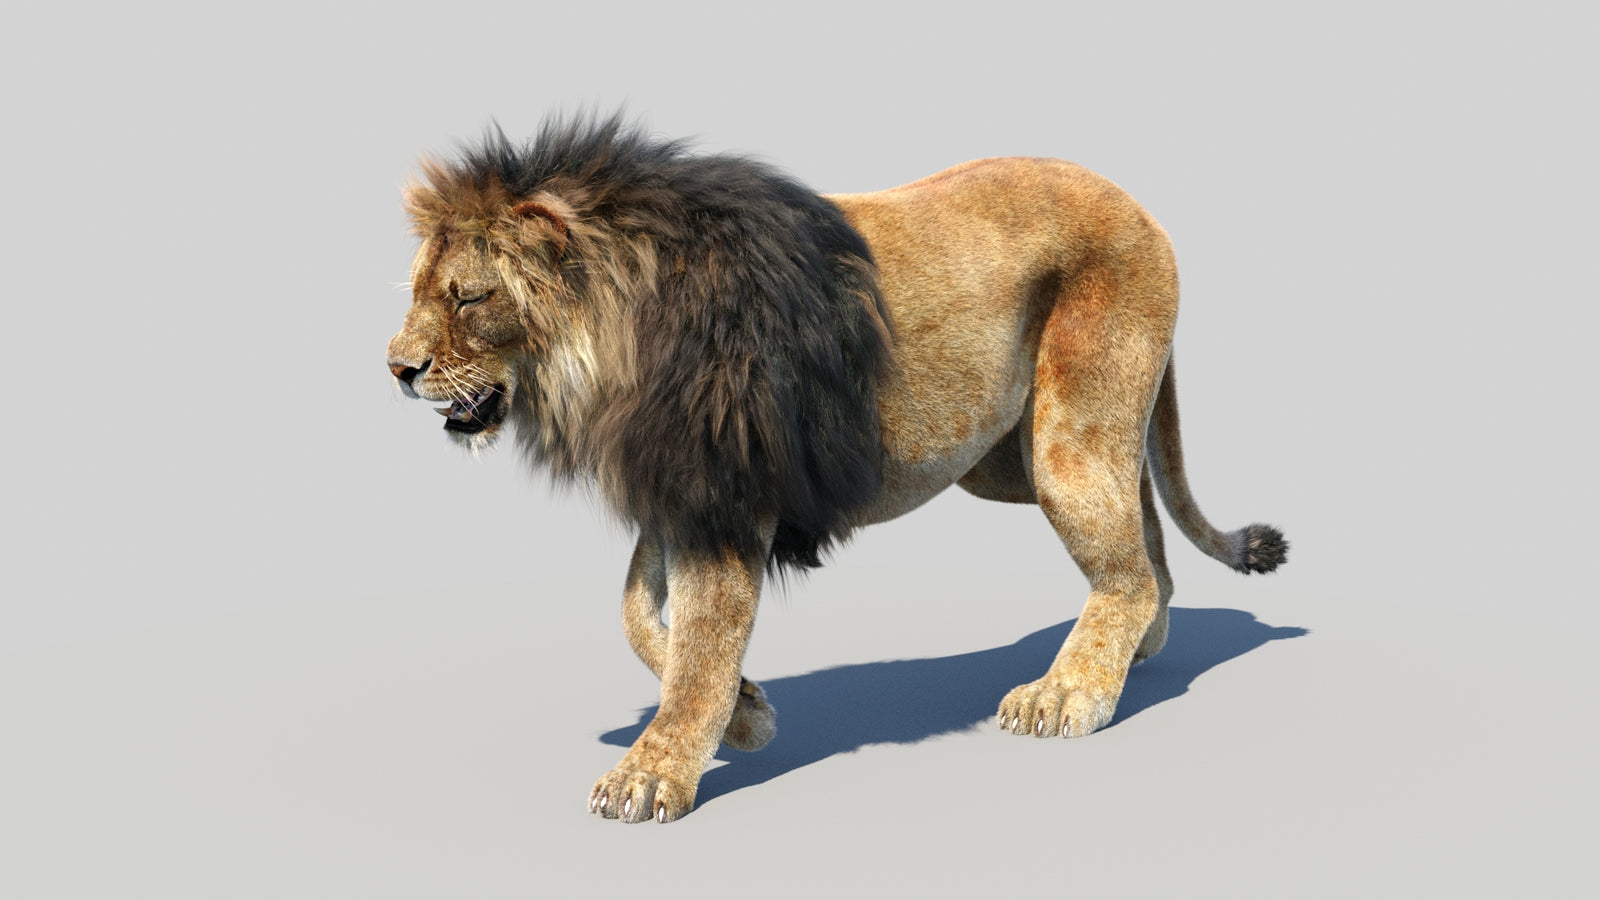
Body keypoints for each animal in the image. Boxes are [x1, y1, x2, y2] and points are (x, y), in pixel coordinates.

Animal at [386, 114, 1287, 824]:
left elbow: (701, 644)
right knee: (1139, 523)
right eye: (420, 289)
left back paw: (1071, 692)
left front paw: (652, 773)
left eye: (468, 297)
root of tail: (1136, 202)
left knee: (1123, 567)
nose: (395, 368)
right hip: (1011, 455)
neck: (605, 355)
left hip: (1067, 434)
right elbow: (640, 618)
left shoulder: (722, 499)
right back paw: (1139, 645)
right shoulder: (681, 489)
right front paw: (748, 714)